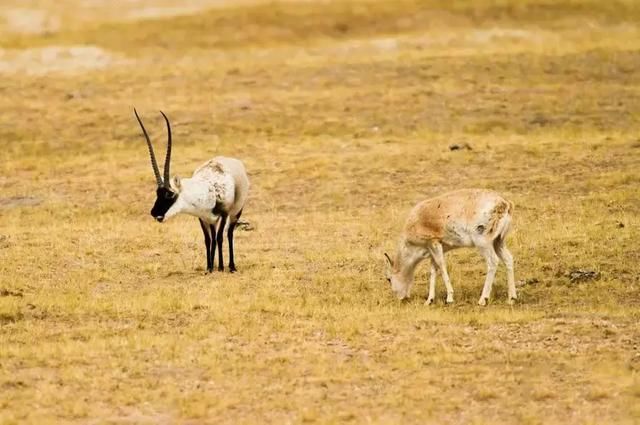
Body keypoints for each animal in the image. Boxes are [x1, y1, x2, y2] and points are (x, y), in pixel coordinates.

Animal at [135, 109, 250, 274]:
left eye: (170, 194)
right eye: (157, 193)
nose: (154, 213)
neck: (207, 190)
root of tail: (234, 161)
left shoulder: (223, 214)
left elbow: (220, 237)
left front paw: (221, 267)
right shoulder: (202, 218)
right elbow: (208, 240)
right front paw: (209, 268)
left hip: (235, 212)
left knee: (228, 233)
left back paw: (231, 266)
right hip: (211, 220)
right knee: (214, 236)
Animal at [384, 189, 516, 304]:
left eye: (388, 279)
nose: (400, 298)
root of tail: (505, 203)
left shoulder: (434, 243)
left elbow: (442, 267)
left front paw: (449, 298)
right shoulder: (433, 249)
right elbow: (433, 270)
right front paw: (429, 300)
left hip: (483, 243)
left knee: (493, 262)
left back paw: (483, 300)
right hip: (498, 242)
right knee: (508, 259)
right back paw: (511, 298)